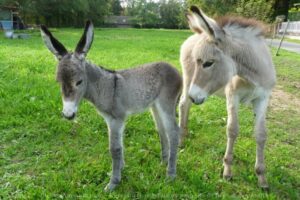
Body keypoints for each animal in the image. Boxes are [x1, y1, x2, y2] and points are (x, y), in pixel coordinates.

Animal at [40, 21, 182, 191]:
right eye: (58, 82)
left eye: (79, 82)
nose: (68, 114)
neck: (104, 87)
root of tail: (174, 68)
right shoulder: (110, 120)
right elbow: (119, 146)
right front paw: (120, 168)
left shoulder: (116, 119)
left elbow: (114, 149)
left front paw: (114, 182)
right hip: (155, 106)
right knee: (162, 131)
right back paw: (164, 162)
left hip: (166, 104)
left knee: (174, 132)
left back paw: (171, 174)